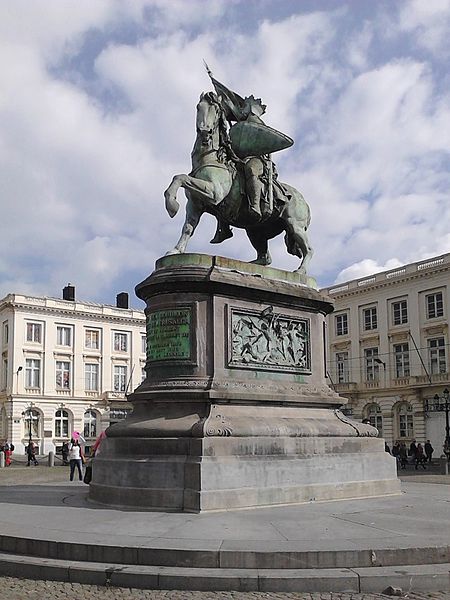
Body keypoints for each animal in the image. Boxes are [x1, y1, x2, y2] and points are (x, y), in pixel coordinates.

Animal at [163, 92, 314, 274]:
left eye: (215, 109)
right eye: (198, 107)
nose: (205, 132)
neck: (210, 158)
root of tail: (304, 201)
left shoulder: (214, 193)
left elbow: (181, 177)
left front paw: (171, 206)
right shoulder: (195, 204)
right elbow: (187, 227)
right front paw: (176, 250)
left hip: (294, 225)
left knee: (308, 249)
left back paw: (300, 271)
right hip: (255, 230)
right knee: (265, 258)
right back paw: (248, 266)